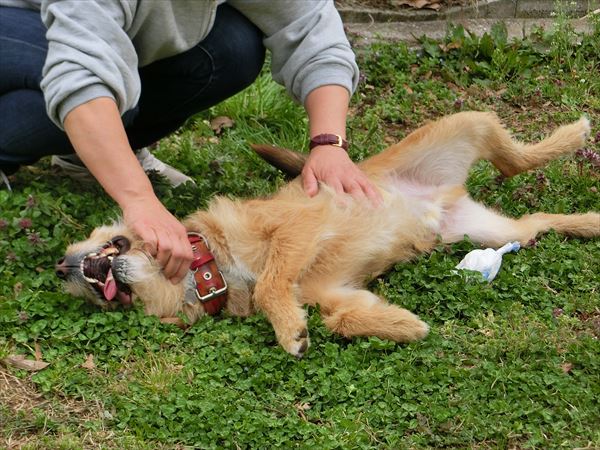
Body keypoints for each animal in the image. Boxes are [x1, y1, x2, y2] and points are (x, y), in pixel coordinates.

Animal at [56, 112, 598, 357]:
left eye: (99, 236)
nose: (62, 266)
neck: (212, 266)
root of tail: (440, 199)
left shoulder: (296, 229)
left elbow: (272, 285)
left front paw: (286, 330)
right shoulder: (331, 291)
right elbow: (341, 318)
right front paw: (402, 325)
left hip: (467, 125)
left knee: (515, 158)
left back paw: (573, 135)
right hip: (483, 230)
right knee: (537, 221)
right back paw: (589, 221)